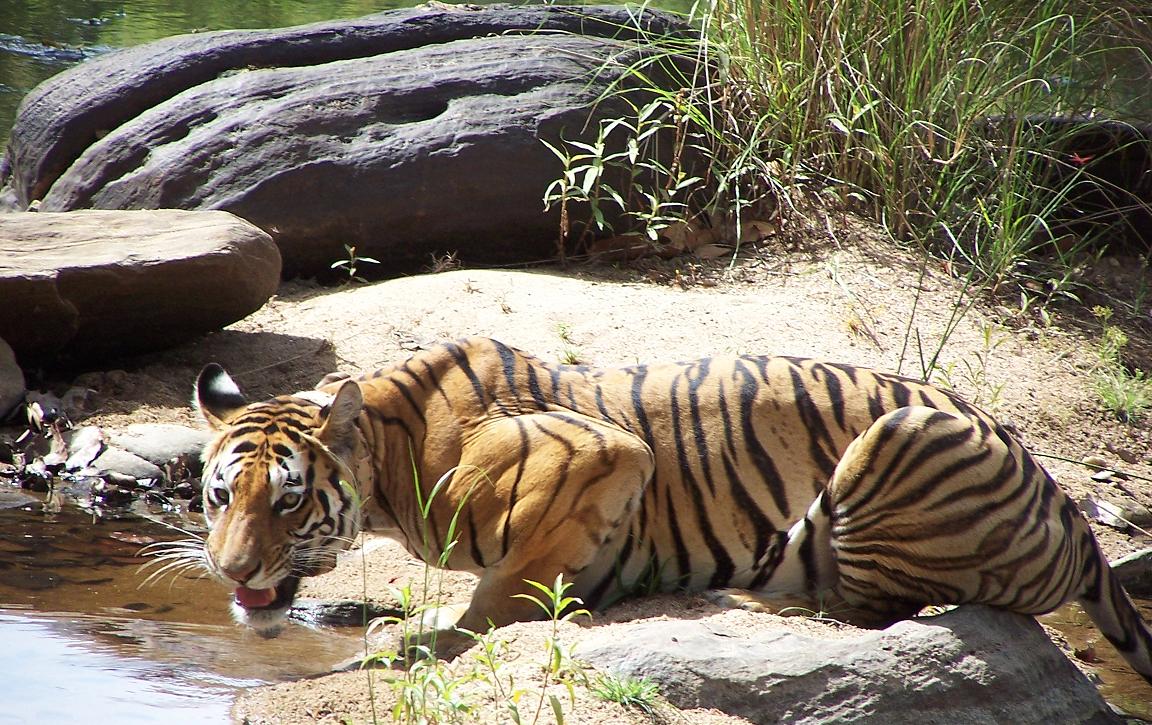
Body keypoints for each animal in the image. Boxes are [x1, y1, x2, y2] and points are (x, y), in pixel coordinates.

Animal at [188, 336, 1152, 683]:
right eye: (219, 496)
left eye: (289, 501)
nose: (232, 571)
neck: (390, 459)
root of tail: (1066, 499)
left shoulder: (599, 453)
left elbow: (503, 588)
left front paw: (432, 638)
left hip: (901, 435)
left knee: (874, 599)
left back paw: (749, 593)